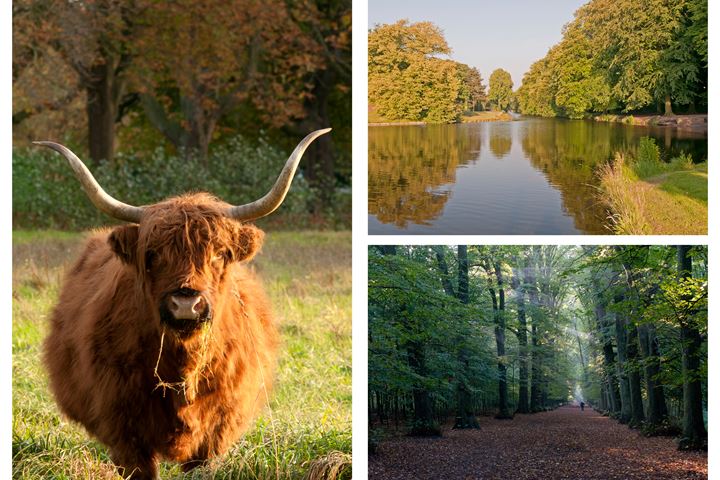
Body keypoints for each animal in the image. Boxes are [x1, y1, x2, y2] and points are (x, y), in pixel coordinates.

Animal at [38, 128, 330, 480]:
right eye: (153, 255)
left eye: (219, 253)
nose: (186, 304)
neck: (182, 367)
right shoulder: (124, 432)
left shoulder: (216, 431)